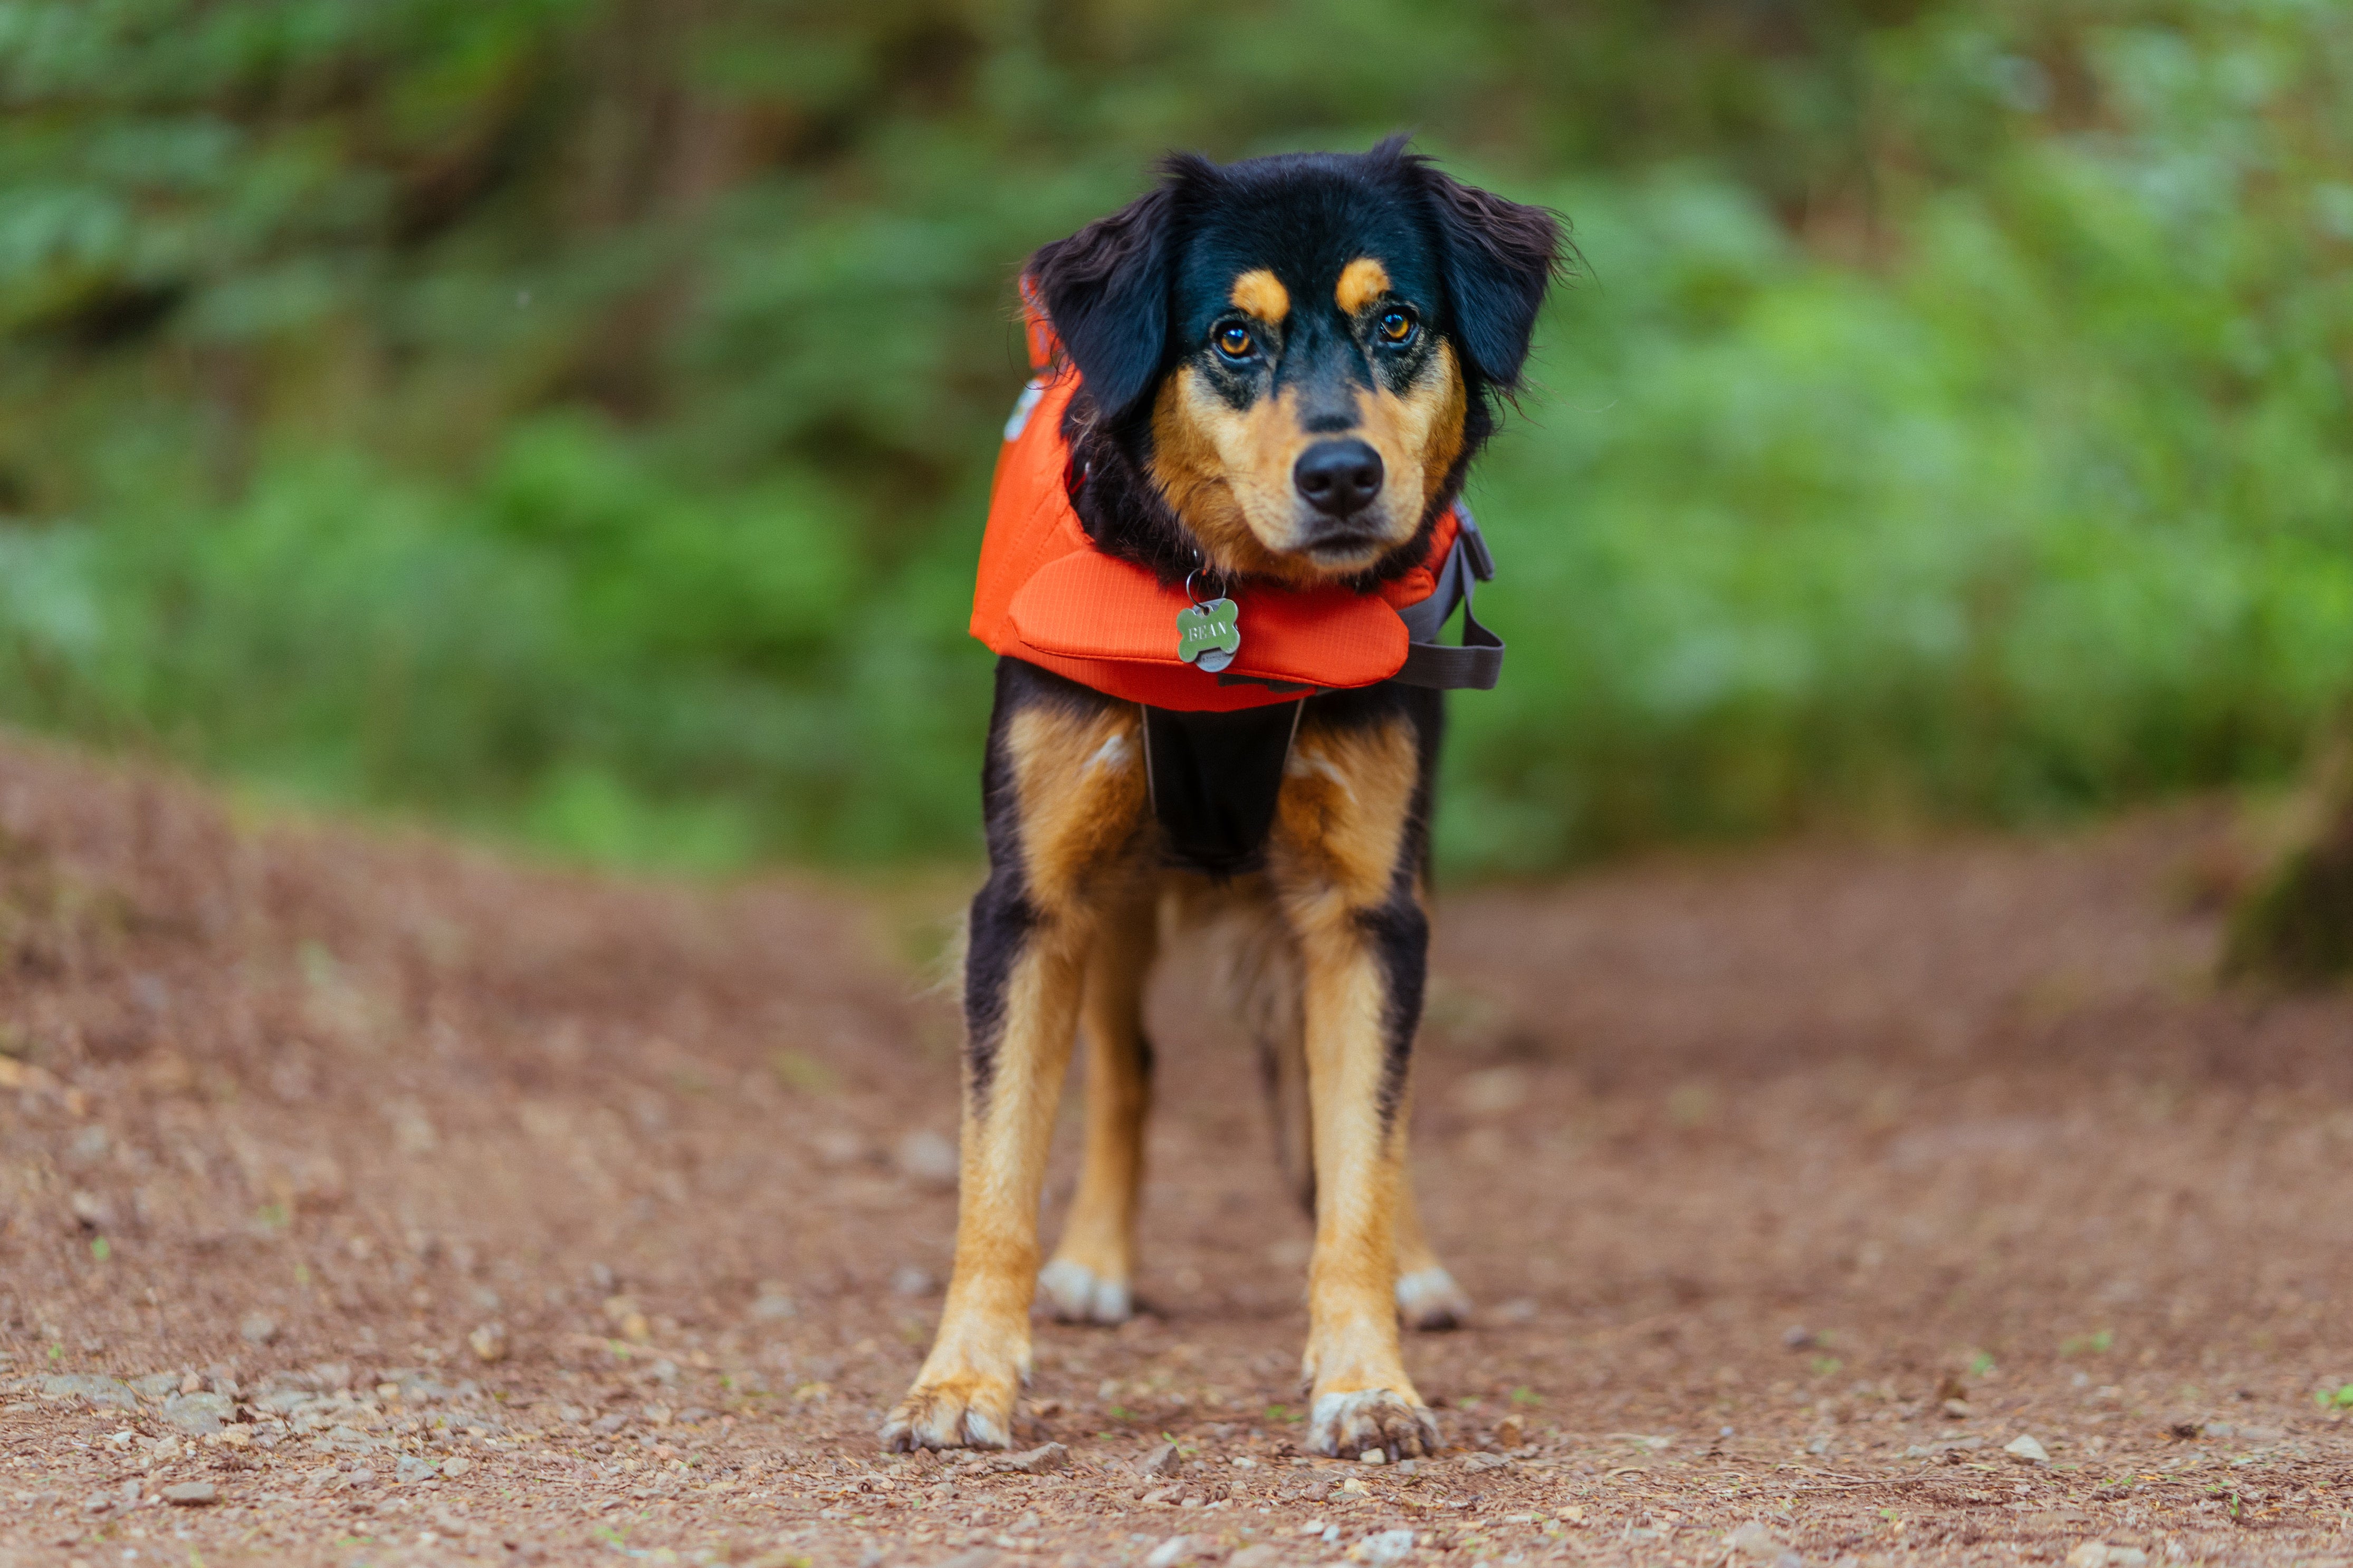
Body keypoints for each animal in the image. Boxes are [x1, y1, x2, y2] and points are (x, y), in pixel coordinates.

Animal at [884, 138, 1562, 1476]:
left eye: (1397, 322)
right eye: (1233, 338)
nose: (1342, 473)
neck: (1241, 615)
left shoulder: (1365, 912)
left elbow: (1358, 1159)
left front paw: (1366, 1382)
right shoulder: (1030, 902)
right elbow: (997, 1175)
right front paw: (963, 1377)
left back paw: (1416, 1273)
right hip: (1113, 904)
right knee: (1126, 1068)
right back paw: (1095, 1261)